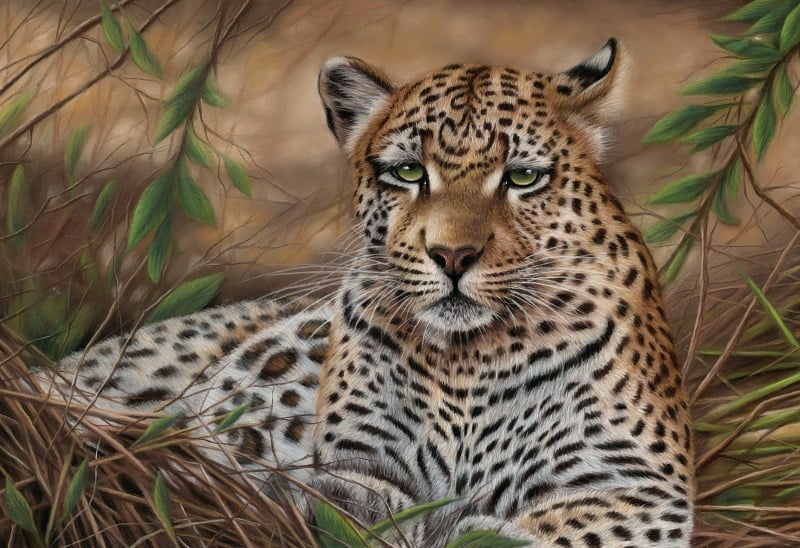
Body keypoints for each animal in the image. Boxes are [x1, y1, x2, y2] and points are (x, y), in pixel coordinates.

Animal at [39, 38, 695, 546]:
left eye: (523, 177)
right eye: (408, 173)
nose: (453, 256)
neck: (468, 362)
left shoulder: (645, 488)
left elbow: (561, 529)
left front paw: (469, 530)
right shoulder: (342, 455)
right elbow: (342, 498)